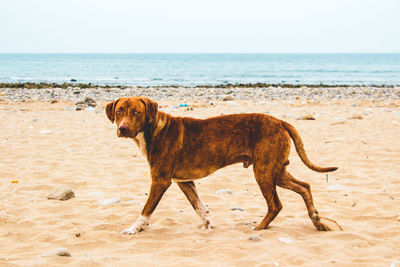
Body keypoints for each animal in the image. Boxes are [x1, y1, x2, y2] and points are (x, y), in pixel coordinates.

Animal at [104, 97, 342, 236]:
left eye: (136, 112)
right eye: (119, 111)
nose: (122, 128)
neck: (152, 130)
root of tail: (280, 121)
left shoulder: (160, 181)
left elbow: (146, 210)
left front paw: (133, 229)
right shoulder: (185, 181)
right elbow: (200, 207)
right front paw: (208, 226)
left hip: (264, 171)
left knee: (276, 204)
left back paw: (260, 227)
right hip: (277, 170)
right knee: (305, 187)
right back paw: (316, 220)